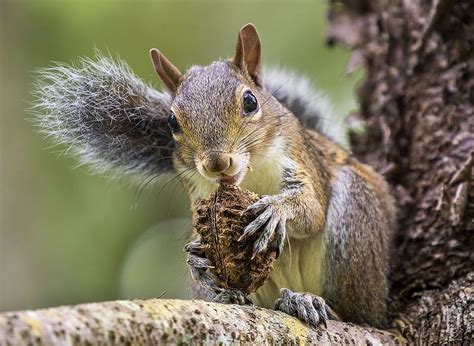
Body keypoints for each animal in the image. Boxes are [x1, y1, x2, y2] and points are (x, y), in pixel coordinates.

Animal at [34, 23, 396, 328]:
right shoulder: (197, 191)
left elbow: (312, 209)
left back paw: (311, 302)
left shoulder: (300, 157)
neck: (249, 176)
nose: (216, 163)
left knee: (354, 311)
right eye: (172, 122)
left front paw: (275, 210)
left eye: (250, 101)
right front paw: (197, 258)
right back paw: (240, 296)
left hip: (355, 228)